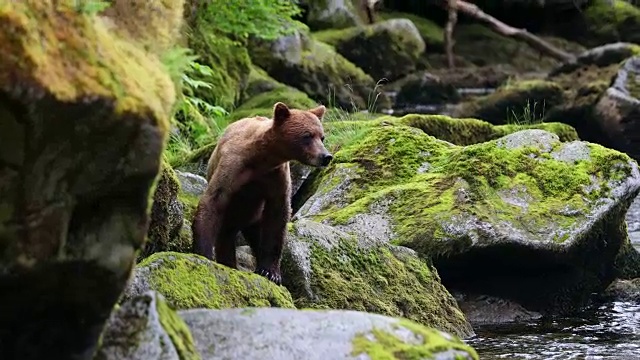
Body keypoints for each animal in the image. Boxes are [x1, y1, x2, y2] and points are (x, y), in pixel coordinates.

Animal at [190, 101, 332, 284]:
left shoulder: (276, 178)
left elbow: (277, 219)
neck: (262, 159)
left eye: (322, 137)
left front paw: (270, 272)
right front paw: (204, 253)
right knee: (226, 234)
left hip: (254, 214)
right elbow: (213, 200)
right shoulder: (233, 167)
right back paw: (228, 262)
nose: (326, 156)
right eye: (307, 135)